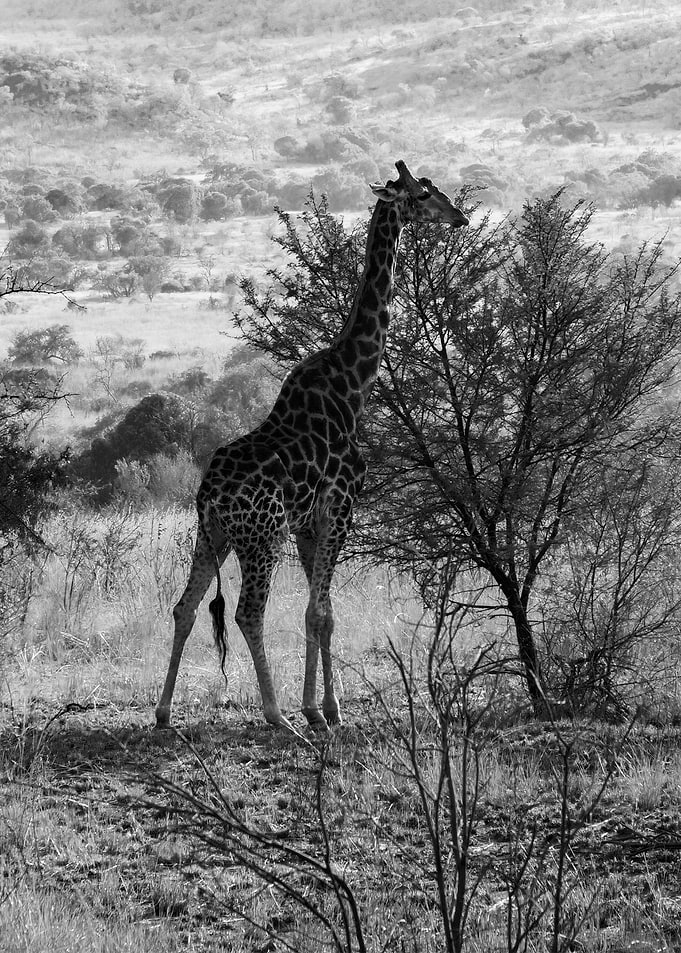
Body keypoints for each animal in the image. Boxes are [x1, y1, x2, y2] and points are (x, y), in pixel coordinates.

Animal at [155, 159, 468, 731]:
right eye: (423, 194)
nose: (457, 217)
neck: (352, 385)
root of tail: (208, 494)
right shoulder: (340, 506)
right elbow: (317, 610)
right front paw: (317, 709)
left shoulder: (309, 522)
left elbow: (323, 614)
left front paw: (326, 707)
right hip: (261, 537)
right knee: (247, 613)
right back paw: (275, 713)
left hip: (212, 536)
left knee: (184, 607)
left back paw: (165, 711)